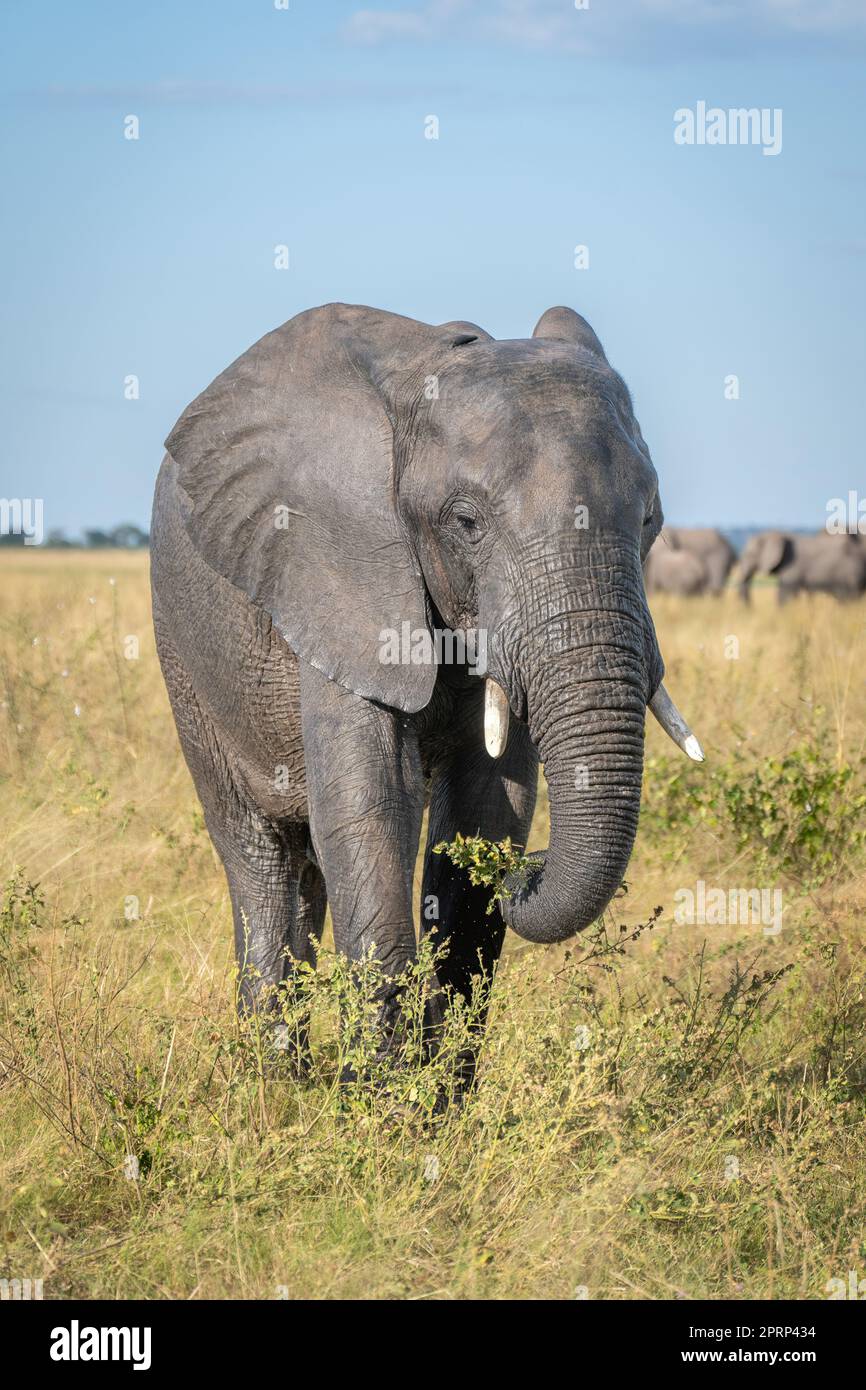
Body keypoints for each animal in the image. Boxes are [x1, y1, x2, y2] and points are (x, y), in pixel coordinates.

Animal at [151, 302, 702, 1085]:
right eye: (465, 523)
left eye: (650, 518)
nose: (526, 880)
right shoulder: (335, 569)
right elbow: (372, 802)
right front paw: (382, 1101)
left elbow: (488, 805)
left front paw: (436, 1096)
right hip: (185, 656)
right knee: (259, 855)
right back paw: (274, 1083)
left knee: (307, 869)